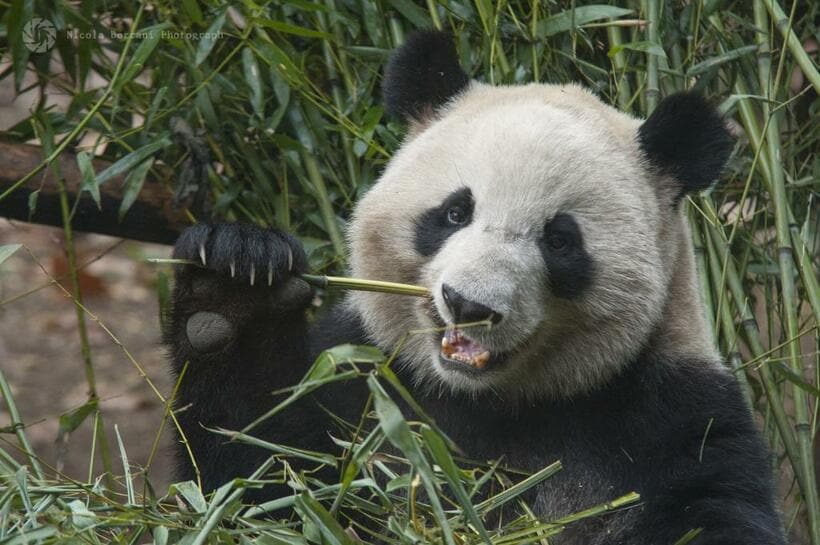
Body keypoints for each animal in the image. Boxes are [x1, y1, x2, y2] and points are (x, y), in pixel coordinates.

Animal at [163, 30, 784, 544]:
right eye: (455, 212)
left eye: (560, 240)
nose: (469, 304)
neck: (485, 399)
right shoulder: (360, 381)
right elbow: (258, 480)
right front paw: (232, 287)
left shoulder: (671, 418)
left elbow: (712, 509)